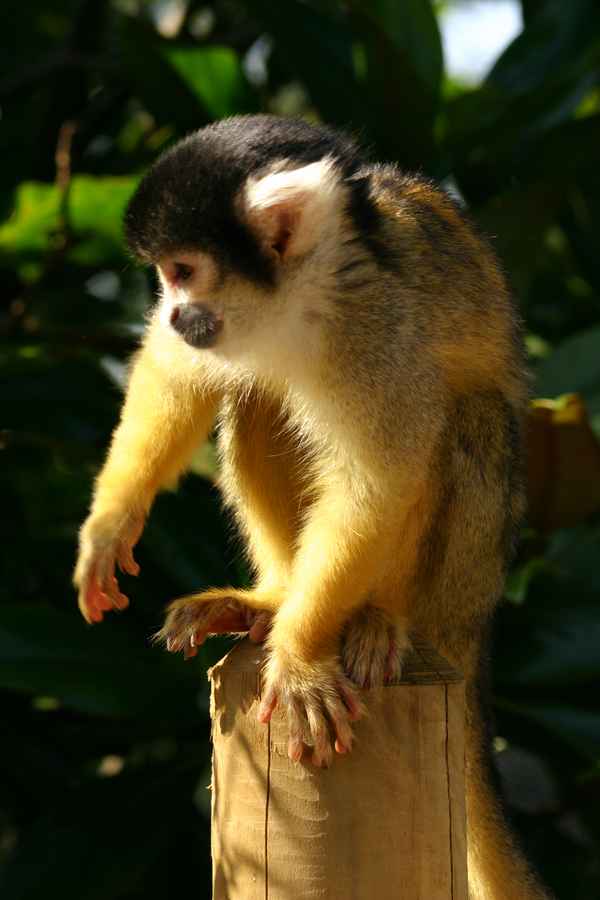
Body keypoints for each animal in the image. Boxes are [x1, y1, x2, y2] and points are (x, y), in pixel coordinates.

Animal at [74, 115, 551, 899]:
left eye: (182, 270)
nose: (173, 311)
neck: (296, 300)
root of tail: (475, 626)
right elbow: (179, 368)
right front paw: (110, 524)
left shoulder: (379, 329)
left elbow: (380, 474)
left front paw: (299, 659)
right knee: (257, 395)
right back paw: (270, 598)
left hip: (470, 573)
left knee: (464, 419)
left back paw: (379, 617)